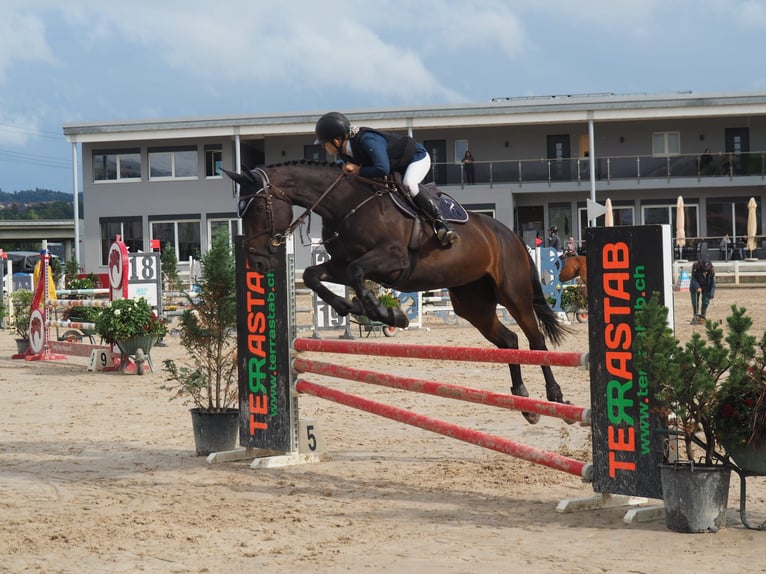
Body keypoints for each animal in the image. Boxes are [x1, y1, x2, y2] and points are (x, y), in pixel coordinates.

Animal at [225, 162, 572, 424]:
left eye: (257, 207)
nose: (257, 261)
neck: (346, 203)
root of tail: (510, 234)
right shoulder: (341, 263)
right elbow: (314, 275)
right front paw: (353, 308)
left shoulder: (392, 259)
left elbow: (357, 275)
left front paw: (386, 314)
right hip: (473, 304)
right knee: (509, 341)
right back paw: (524, 401)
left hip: (513, 295)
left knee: (536, 341)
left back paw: (556, 397)